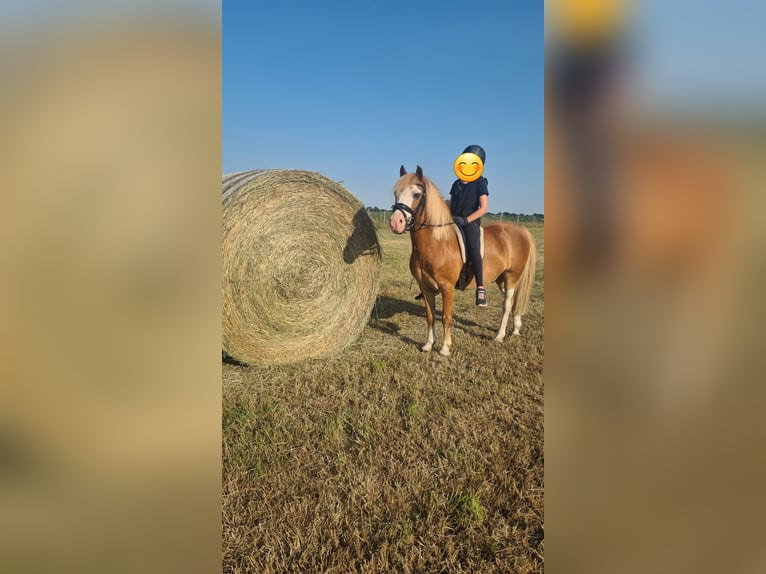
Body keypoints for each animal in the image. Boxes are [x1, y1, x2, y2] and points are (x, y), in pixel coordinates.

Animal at [389, 165, 537, 356]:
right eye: (396, 193)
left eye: (416, 194)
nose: (396, 223)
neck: (437, 242)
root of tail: (521, 230)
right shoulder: (425, 287)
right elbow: (430, 316)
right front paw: (428, 344)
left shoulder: (447, 287)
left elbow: (446, 316)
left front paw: (445, 348)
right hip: (502, 278)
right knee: (513, 301)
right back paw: (516, 329)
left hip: (512, 276)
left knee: (506, 305)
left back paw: (499, 335)